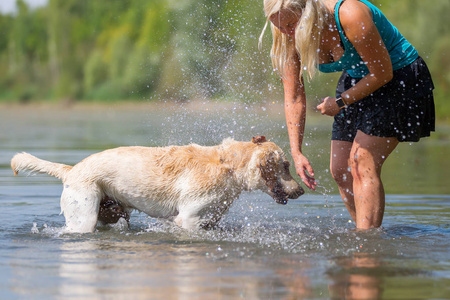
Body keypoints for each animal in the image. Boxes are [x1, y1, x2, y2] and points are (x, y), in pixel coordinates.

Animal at [10, 136, 304, 232]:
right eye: (286, 166)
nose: (302, 190)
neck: (228, 165)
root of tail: (72, 170)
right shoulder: (189, 220)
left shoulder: (210, 218)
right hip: (83, 217)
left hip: (112, 212)